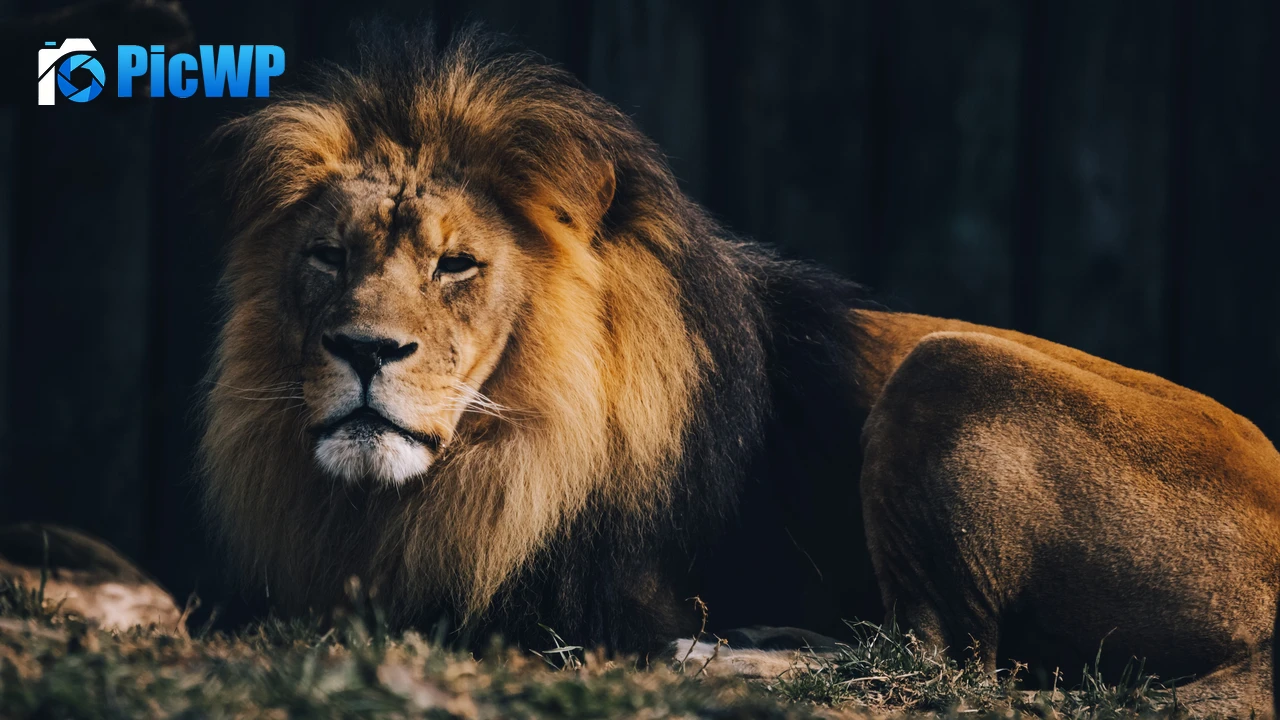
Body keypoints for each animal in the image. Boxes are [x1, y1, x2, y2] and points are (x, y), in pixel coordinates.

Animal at [201, 27, 1279, 712]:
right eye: (327, 257)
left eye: (456, 264)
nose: (365, 350)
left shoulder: (589, 595)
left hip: (948, 366)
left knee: (937, 663)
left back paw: (718, 659)